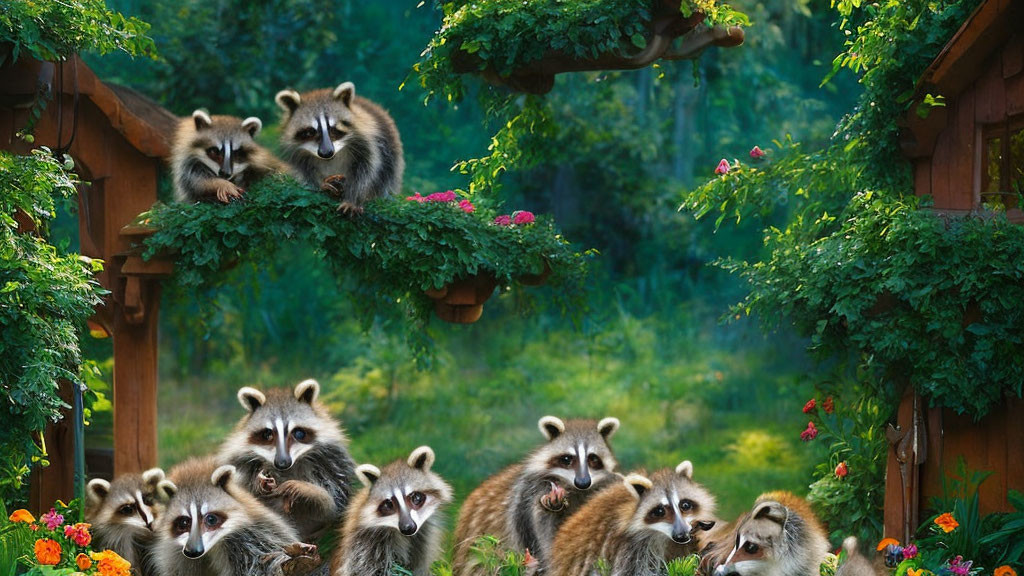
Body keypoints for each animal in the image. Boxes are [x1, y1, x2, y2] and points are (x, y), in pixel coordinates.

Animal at [216, 379, 356, 541]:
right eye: (267, 434)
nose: (282, 463)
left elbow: (333, 504)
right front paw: (258, 480)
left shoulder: (333, 462)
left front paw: (309, 490)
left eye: (299, 433)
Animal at [276, 81, 403, 214]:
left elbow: (366, 171)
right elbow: (301, 171)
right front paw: (318, 185)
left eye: (333, 129)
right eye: (311, 131)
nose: (327, 153)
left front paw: (353, 199)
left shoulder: (368, 142)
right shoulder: (295, 151)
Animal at [548, 459, 716, 576]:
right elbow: (632, 571)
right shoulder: (630, 544)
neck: (662, 534)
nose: (682, 536)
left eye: (685, 505)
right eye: (660, 511)